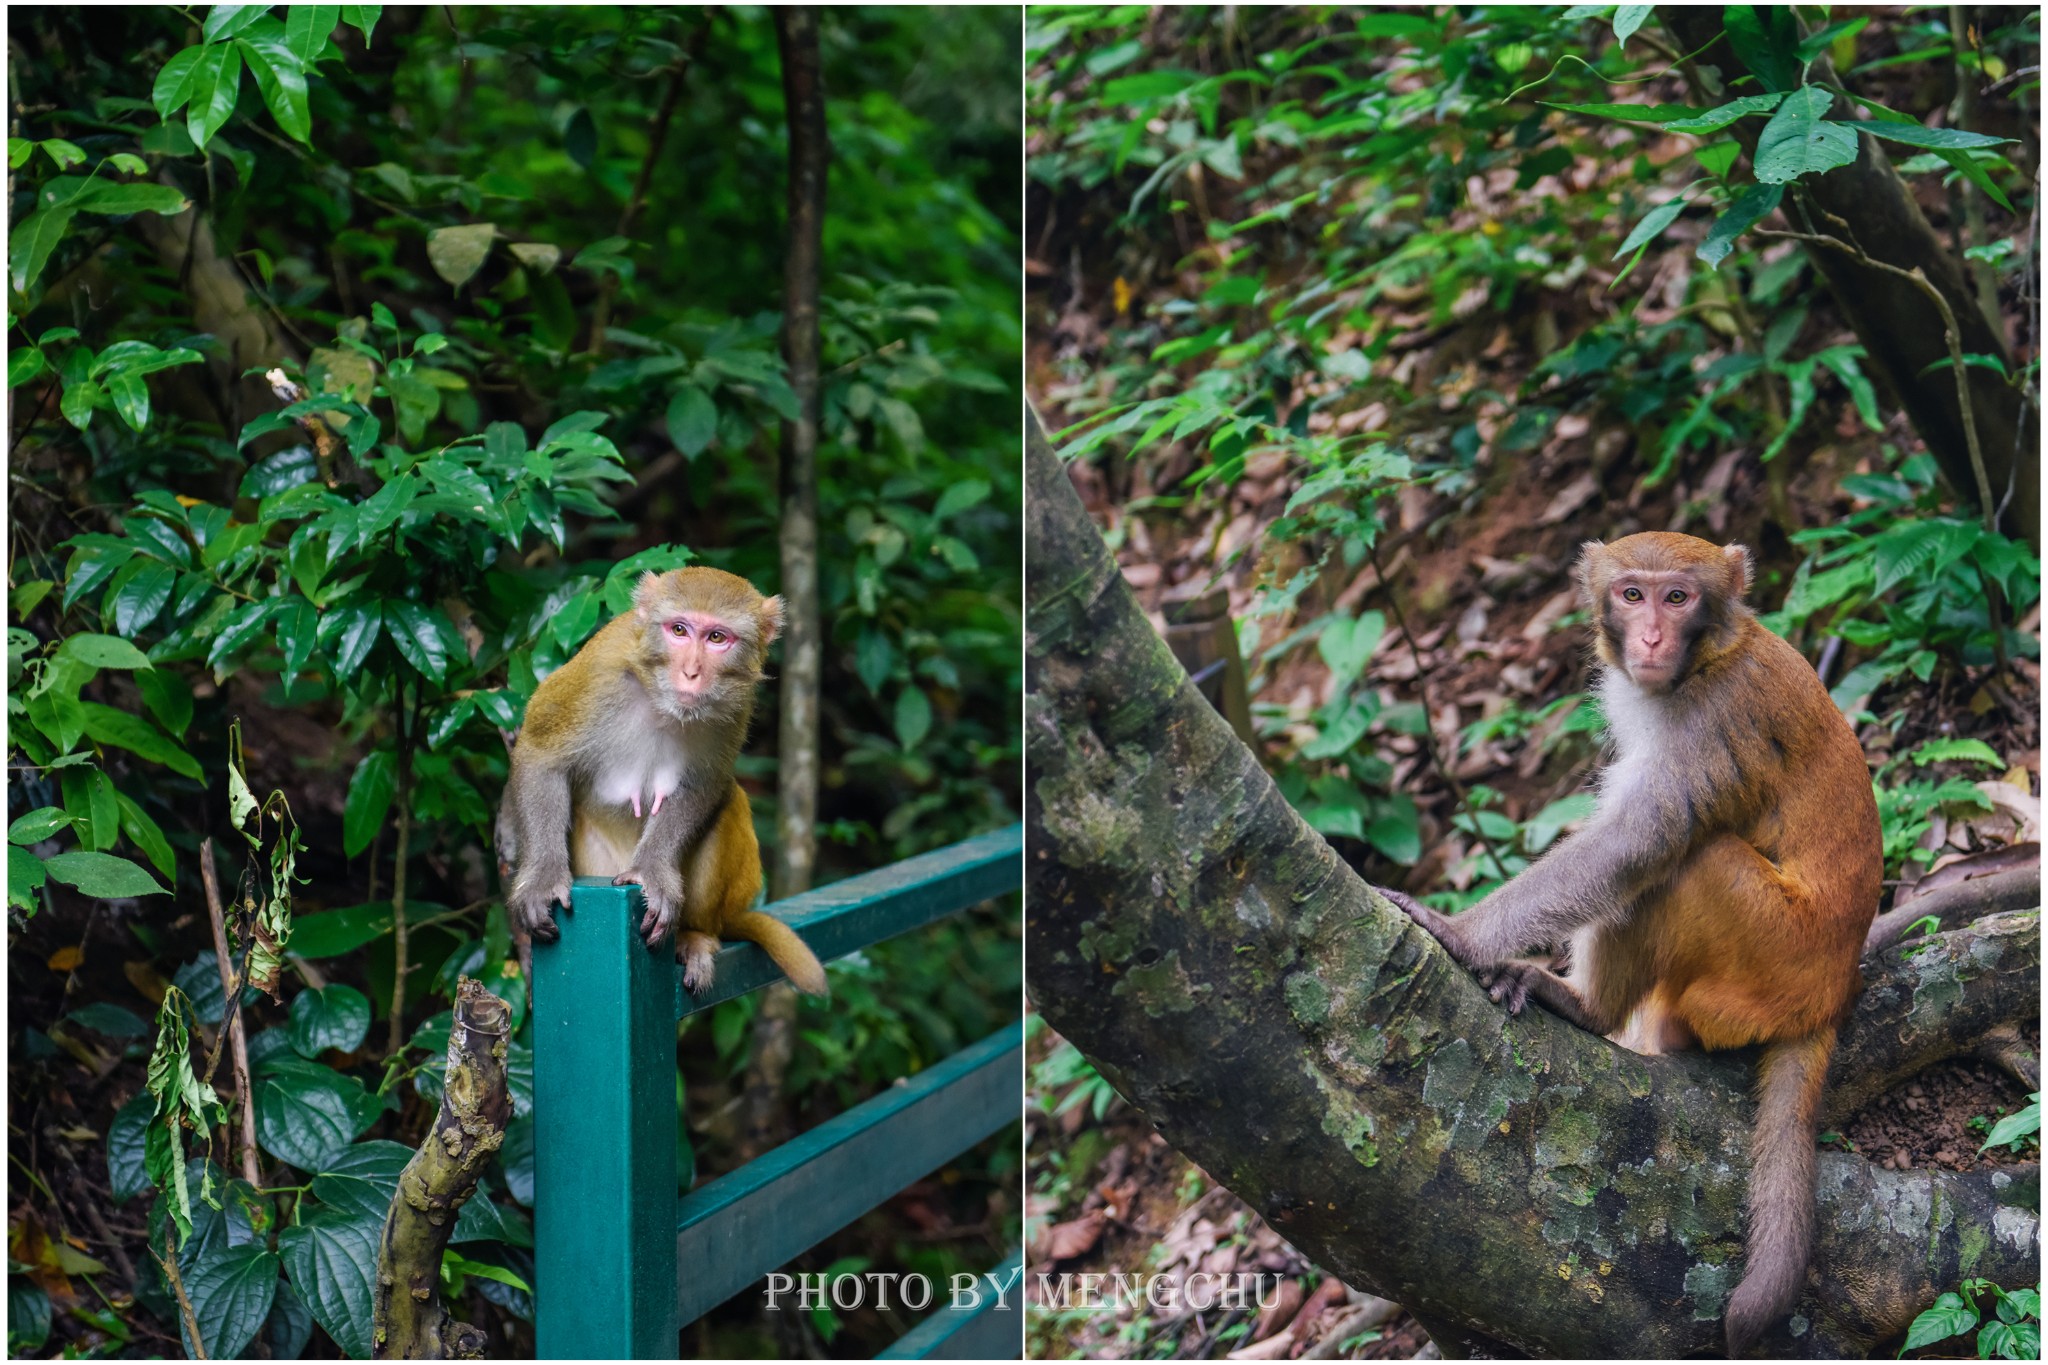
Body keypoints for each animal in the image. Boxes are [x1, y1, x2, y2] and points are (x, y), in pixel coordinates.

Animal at [495, 573, 823, 998]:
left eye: (717, 637)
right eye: (679, 630)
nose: (691, 673)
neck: (659, 698)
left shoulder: (737, 703)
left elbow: (705, 785)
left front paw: (652, 871)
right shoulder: (598, 671)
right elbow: (540, 753)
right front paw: (542, 879)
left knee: (728, 800)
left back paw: (695, 936)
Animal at [1024, 413, 2031, 1358]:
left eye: (1679, 595)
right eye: (1632, 593)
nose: (1652, 633)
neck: (1707, 657)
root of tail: (1829, 988)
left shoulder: (1713, 722)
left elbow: (1635, 842)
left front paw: (1463, 934)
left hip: (1768, 955)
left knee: (1689, 859)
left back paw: (1586, 1007)